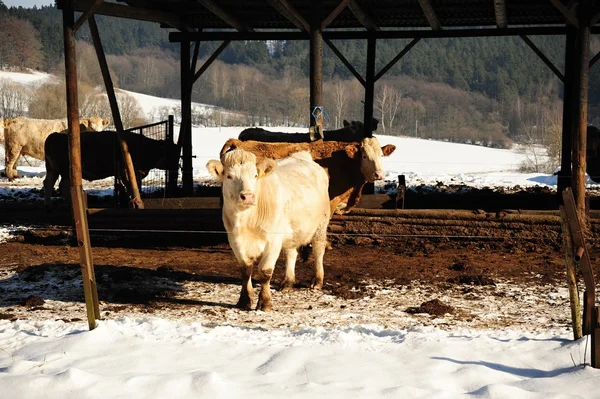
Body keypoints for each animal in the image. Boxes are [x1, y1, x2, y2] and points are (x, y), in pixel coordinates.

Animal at [43, 131, 178, 212]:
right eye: (170, 152)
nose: (176, 167)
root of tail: (55, 135)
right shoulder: (127, 171)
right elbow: (132, 185)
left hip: (52, 170)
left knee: (48, 183)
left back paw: (49, 206)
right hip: (66, 171)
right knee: (62, 186)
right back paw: (71, 204)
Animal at [205, 150, 328, 312]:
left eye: (255, 175)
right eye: (229, 176)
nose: (248, 196)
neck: (247, 221)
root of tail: (302, 156)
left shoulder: (273, 241)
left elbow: (265, 271)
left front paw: (265, 302)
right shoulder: (234, 240)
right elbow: (245, 270)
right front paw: (244, 300)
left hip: (321, 223)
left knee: (318, 250)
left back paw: (317, 281)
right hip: (291, 230)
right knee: (291, 253)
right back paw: (288, 282)